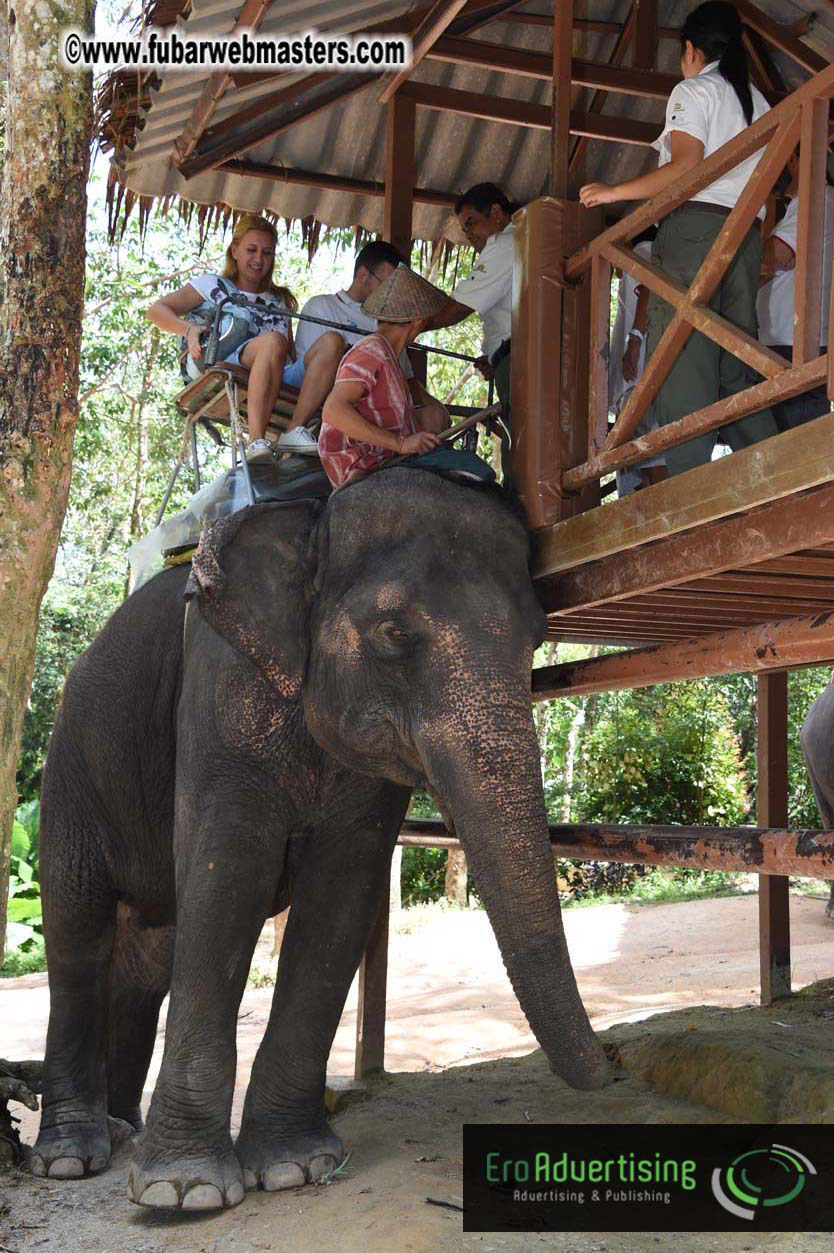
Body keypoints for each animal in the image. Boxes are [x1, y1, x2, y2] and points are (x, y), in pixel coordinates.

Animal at [31, 467, 608, 1211]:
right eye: (393, 631)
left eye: (537, 640)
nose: (611, 1071)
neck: (311, 521)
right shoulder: (222, 697)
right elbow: (228, 878)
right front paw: (184, 1191)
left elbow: (342, 890)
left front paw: (292, 1169)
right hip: (70, 770)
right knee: (77, 934)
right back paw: (72, 1156)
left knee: (146, 961)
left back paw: (122, 1127)